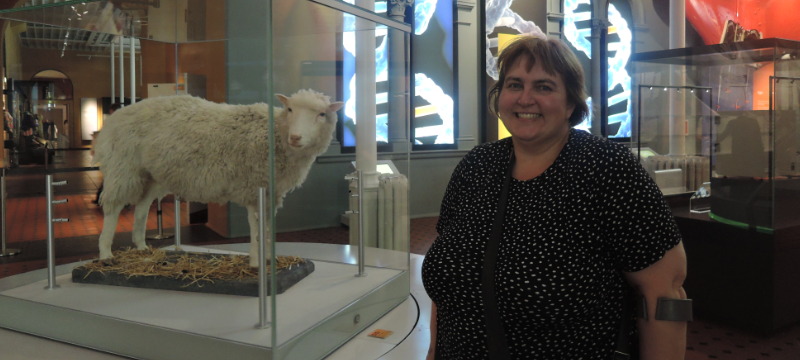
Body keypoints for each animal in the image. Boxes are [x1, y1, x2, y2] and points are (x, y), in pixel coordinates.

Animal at [94, 88, 344, 266]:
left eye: (322, 114)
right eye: (290, 110)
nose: (296, 137)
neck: (274, 134)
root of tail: (114, 118)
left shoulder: (272, 191)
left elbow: (268, 226)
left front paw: (270, 259)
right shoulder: (253, 187)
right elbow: (256, 227)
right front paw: (256, 261)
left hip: (150, 175)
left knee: (142, 207)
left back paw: (141, 247)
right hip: (123, 166)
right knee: (113, 206)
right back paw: (105, 253)